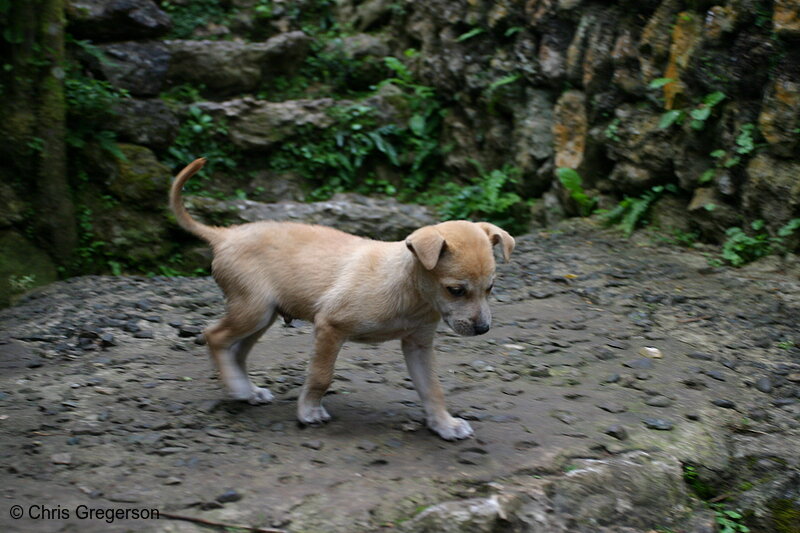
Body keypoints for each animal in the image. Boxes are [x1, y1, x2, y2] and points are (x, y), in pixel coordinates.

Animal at [172, 158, 516, 440]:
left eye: (490, 288)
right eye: (455, 290)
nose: (483, 329)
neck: (408, 289)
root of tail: (225, 234)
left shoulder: (418, 344)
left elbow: (432, 388)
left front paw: (444, 424)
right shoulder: (330, 326)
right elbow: (321, 375)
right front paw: (309, 411)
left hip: (263, 314)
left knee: (237, 350)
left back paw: (247, 390)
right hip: (253, 309)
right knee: (215, 336)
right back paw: (236, 388)